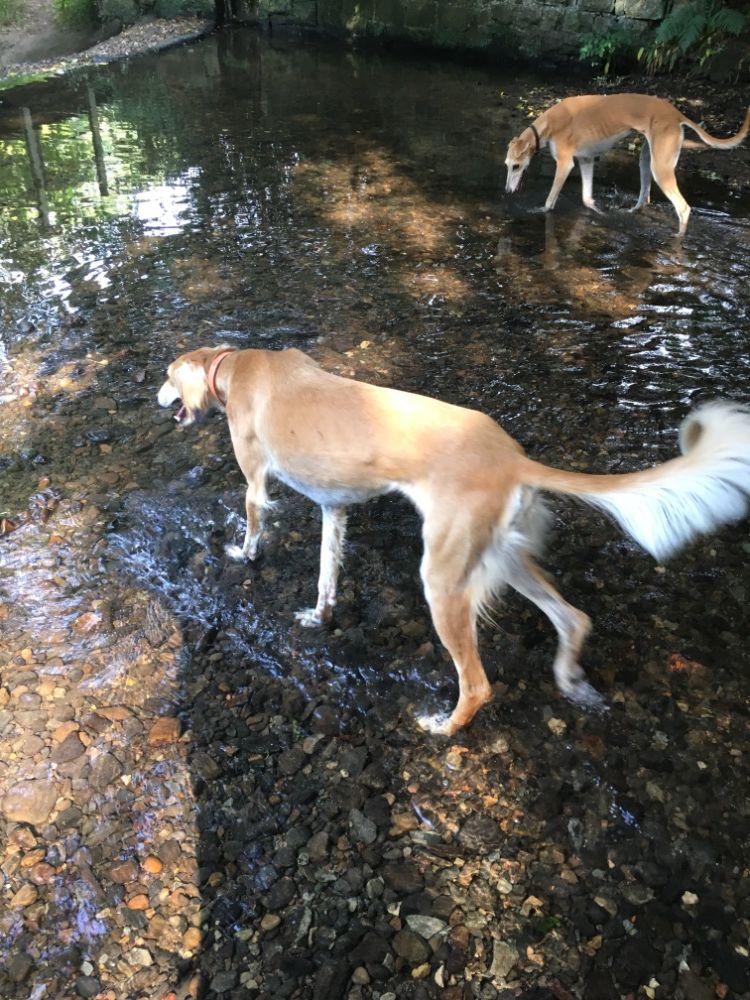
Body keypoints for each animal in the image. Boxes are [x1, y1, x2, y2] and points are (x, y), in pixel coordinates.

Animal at [158, 345, 750, 735]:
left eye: (167, 375)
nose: (156, 391)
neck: (235, 363)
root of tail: (513, 459)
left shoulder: (256, 481)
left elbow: (253, 520)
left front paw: (241, 553)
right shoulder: (334, 507)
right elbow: (327, 573)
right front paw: (320, 615)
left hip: (443, 580)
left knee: (478, 684)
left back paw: (444, 727)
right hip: (500, 556)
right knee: (572, 618)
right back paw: (569, 677)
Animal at [505, 94, 750, 235]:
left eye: (516, 166)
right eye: (507, 165)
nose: (507, 191)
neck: (549, 124)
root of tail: (677, 113)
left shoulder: (565, 164)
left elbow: (549, 201)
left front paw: (539, 210)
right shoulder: (586, 160)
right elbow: (587, 199)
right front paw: (601, 214)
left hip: (661, 168)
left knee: (683, 209)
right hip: (647, 160)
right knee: (644, 198)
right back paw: (630, 212)